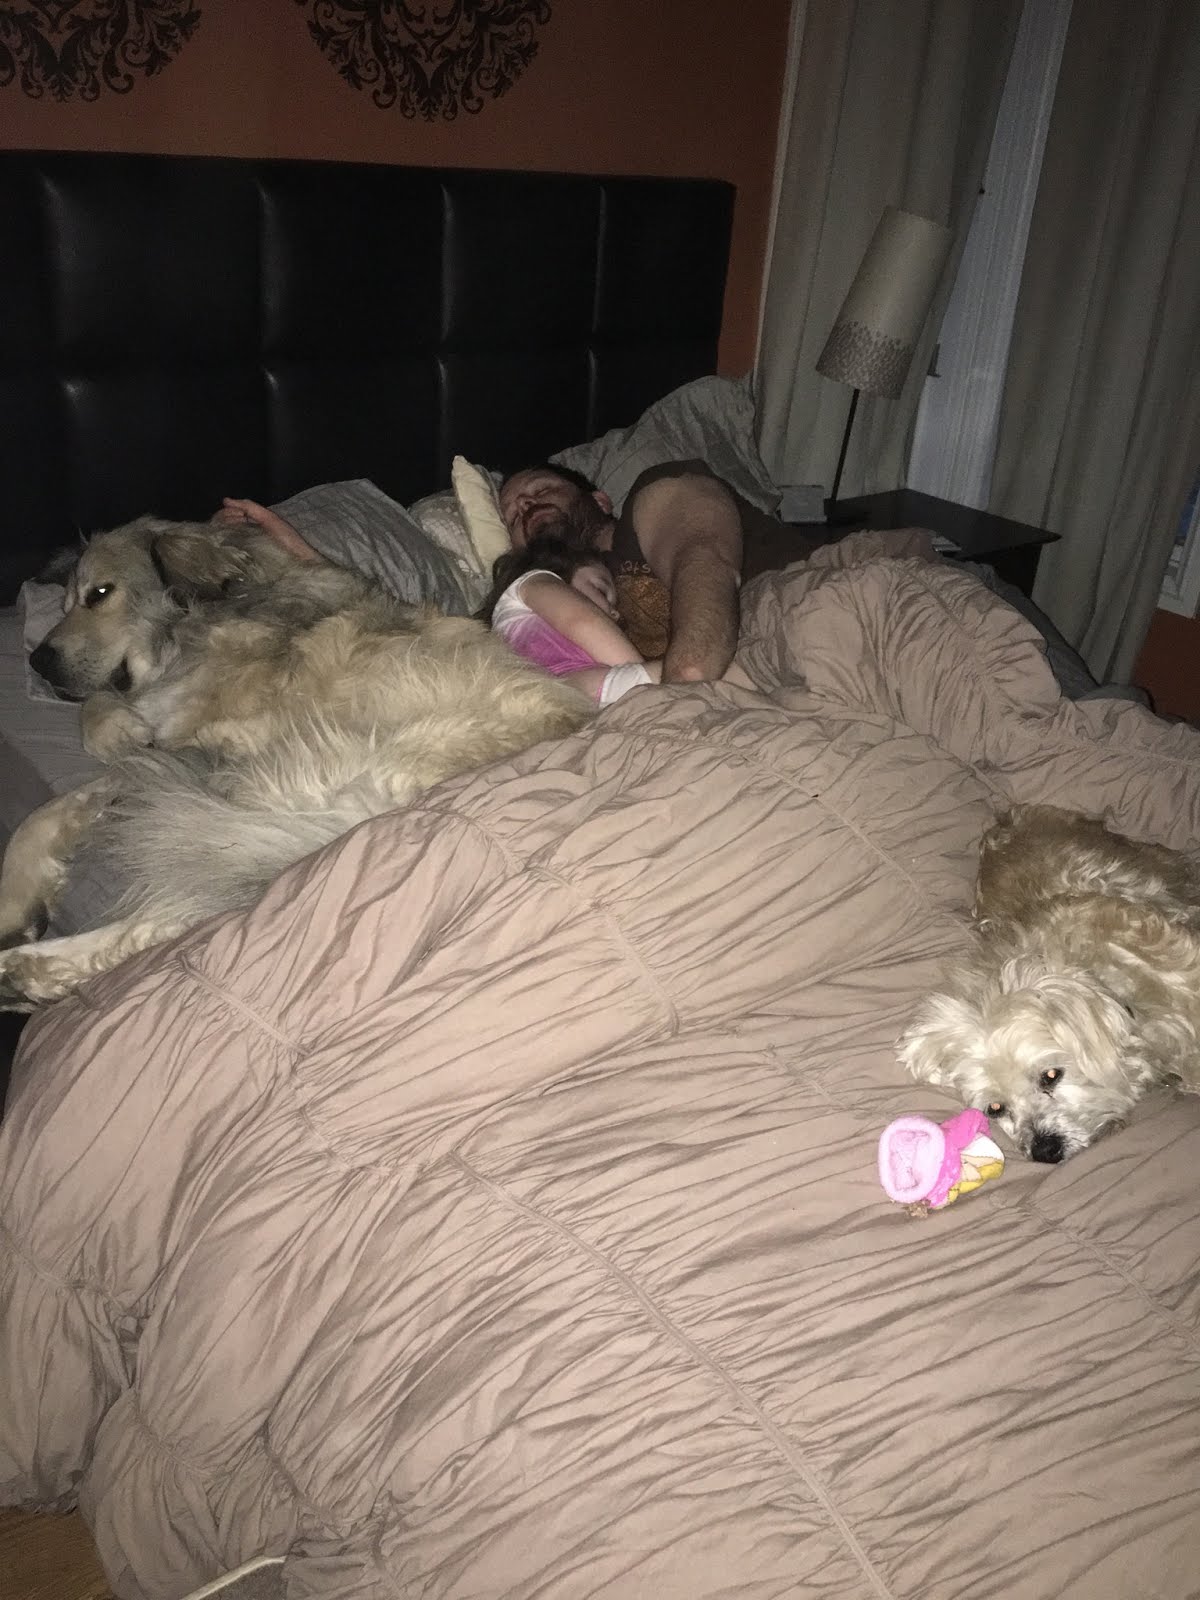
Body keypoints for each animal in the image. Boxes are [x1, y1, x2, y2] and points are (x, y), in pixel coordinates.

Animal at [0, 517, 592, 1009]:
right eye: (67, 600)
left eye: (99, 593)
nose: (38, 660)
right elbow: (61, 793)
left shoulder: (182, 739)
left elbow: (92, 751)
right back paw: (29, 973)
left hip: (271, 791)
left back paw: (29, 967)